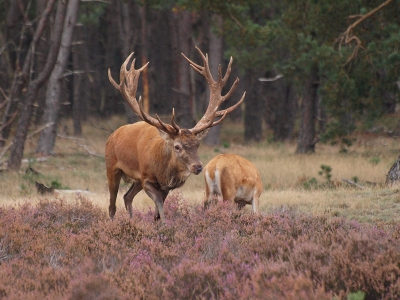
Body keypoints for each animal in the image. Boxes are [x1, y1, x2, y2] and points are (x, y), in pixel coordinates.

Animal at [105, 47, 244, 223]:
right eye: (177, 146)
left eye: (197, 145)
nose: (198, 166)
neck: (164, 172)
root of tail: (112, 136)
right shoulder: (146, 178)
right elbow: (159, 205)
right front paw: (165, 224)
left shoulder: (164, 187)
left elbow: (157, 211)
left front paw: (157, 223)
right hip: (112, 167)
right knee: (112, 205)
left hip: (135, 180)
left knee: (127, 196)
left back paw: (131, 220)